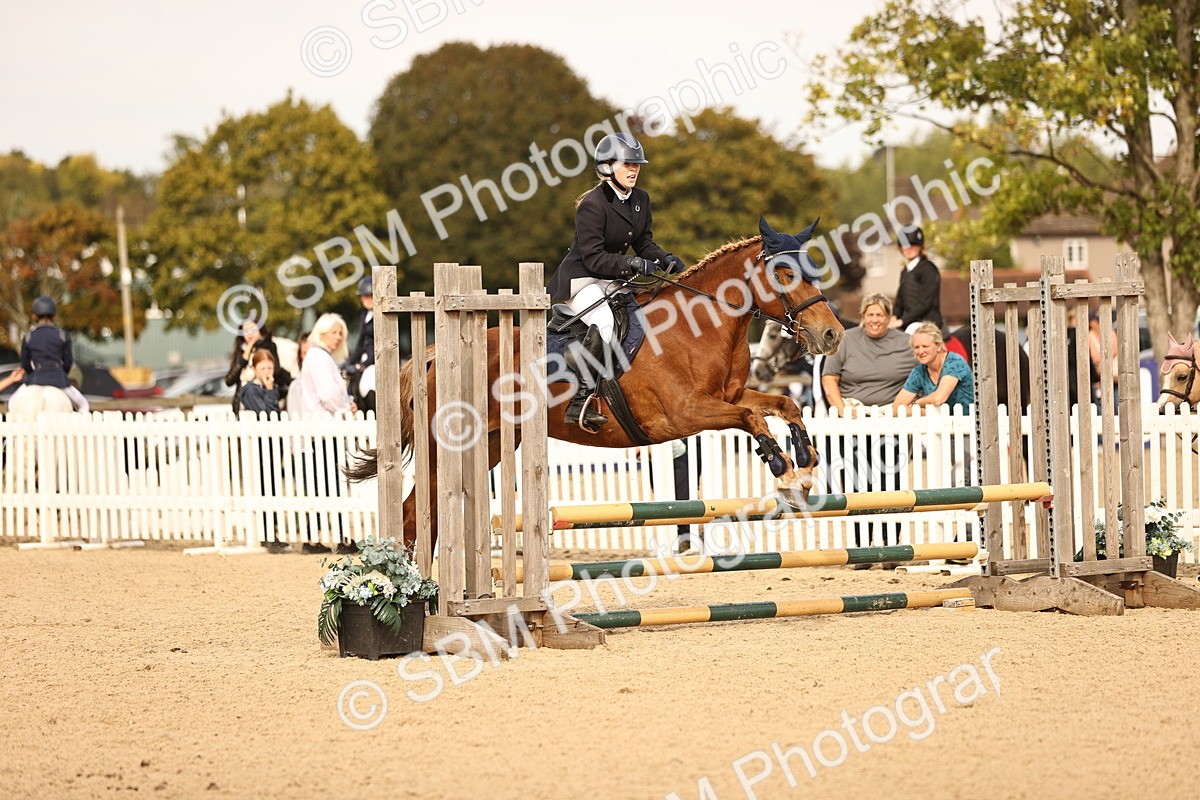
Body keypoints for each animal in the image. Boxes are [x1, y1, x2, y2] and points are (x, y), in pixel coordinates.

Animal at [346, 216, 845, 550]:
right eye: (784, 273)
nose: (831, 334)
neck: (701, 325)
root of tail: (434, 357)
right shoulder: (686, 414)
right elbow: (750, 419)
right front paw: (783, 470)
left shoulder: (730, 395)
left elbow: (784, 405)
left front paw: (804, 462)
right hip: (444, 449)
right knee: (414, 514)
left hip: (491, 444)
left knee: (428, 514)